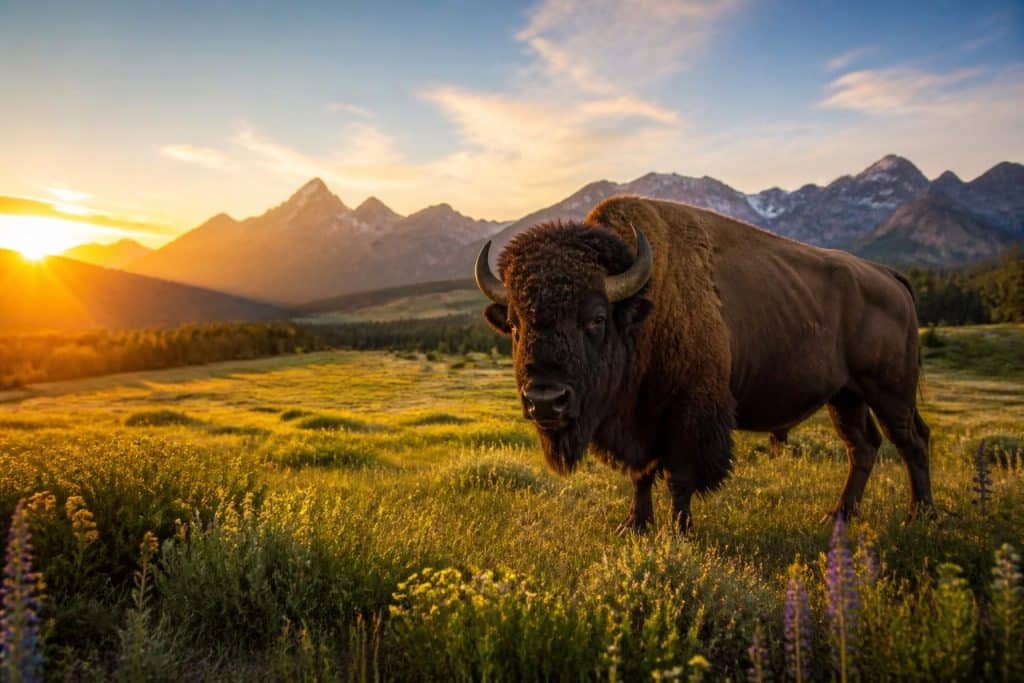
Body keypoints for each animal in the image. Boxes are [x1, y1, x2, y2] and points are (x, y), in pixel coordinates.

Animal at [475, 196, 935, 533]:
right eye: (514, 324)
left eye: (596, 318)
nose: (545, 401)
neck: (644, 311)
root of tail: (888, 276)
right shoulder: (639, 421)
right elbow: (641, 474)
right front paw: (634, 526)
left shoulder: (689, 414)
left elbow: (680, 476)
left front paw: (680, 532)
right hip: (846, 396)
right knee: (863, 446)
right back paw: (838, 515)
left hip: (888, 391)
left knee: (911, 441)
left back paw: (920, 516)